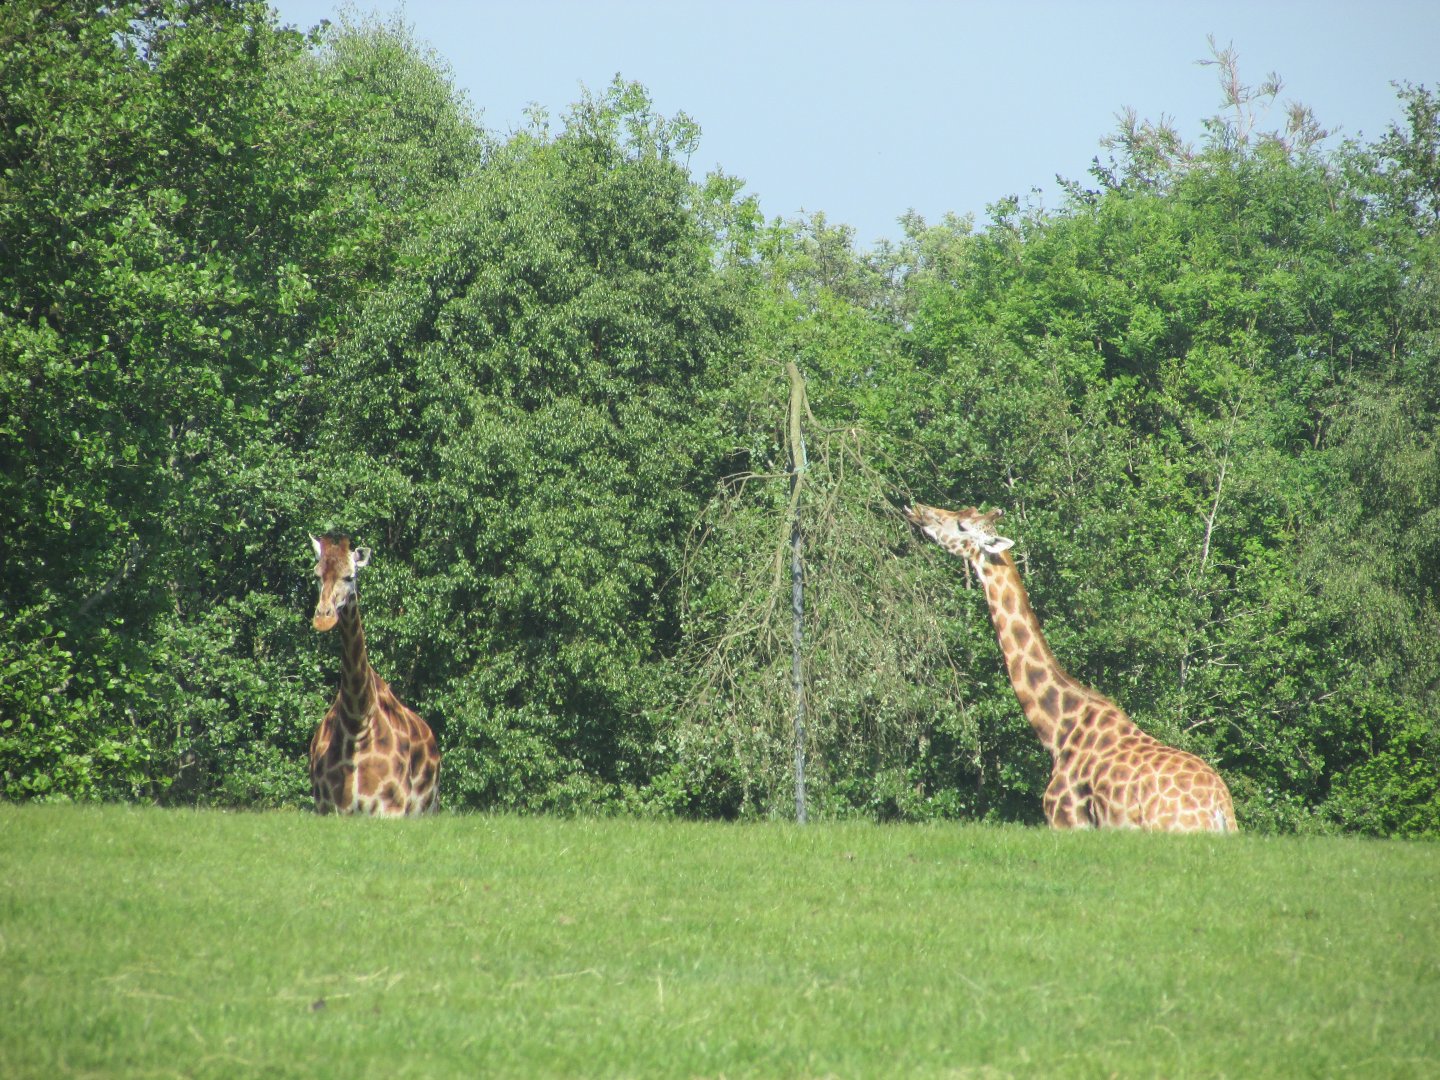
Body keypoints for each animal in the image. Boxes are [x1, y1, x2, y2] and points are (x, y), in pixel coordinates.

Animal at [308, 534, 440, 816]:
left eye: (350, 576)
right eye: (316, 575)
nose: (323, 618)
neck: (356, 722)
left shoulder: (390, 809)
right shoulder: (329, 809)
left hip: (425, 809)